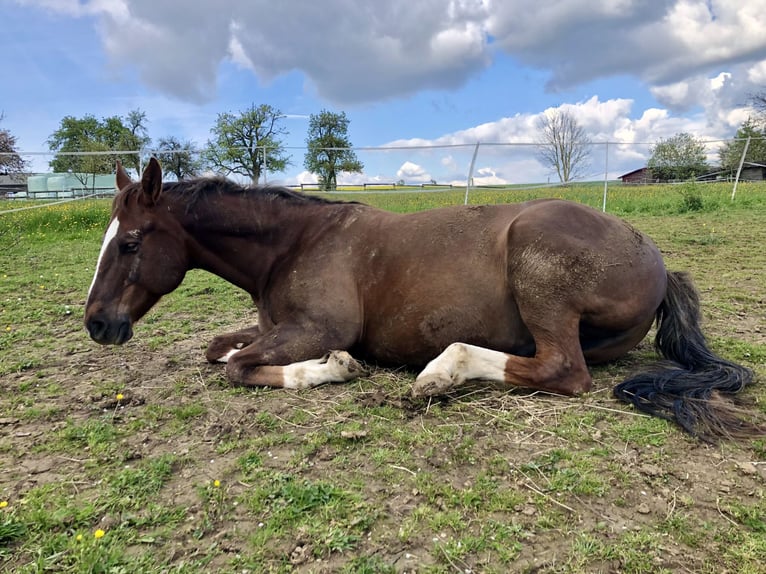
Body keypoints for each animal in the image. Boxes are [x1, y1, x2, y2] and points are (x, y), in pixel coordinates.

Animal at [85, 158, 760, 441]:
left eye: (132, 242)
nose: (96, 324)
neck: (295, 243)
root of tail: (659, 263)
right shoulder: (274, 324)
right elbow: (218, 348)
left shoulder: (316, 327)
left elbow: (240, 367)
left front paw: (334, 368)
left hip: (540, 278)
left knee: (562, 371)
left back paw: (441, 372)